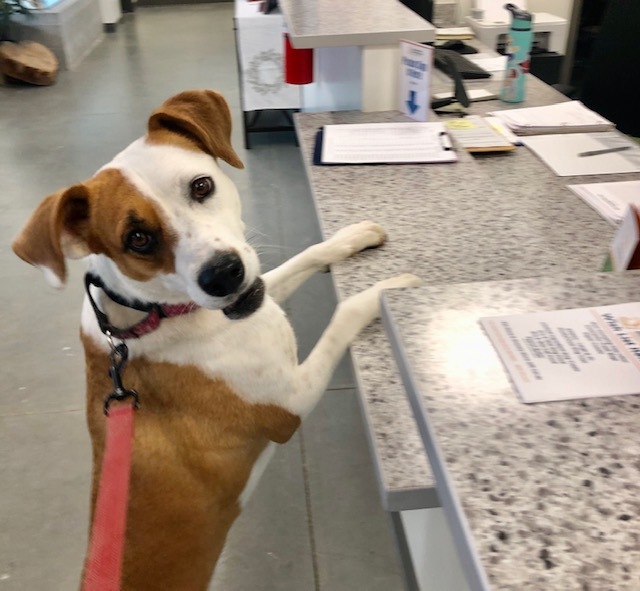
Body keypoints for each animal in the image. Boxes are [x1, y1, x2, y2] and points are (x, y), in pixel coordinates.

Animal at [12, 90, 422, 588]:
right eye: (138, 238)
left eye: (201, 186)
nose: (223, 275)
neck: (151, 315)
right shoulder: (290, 405)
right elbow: (345, 313)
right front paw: (389, 289)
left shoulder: (260, 292)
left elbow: (303, 257)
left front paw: (350, 238)